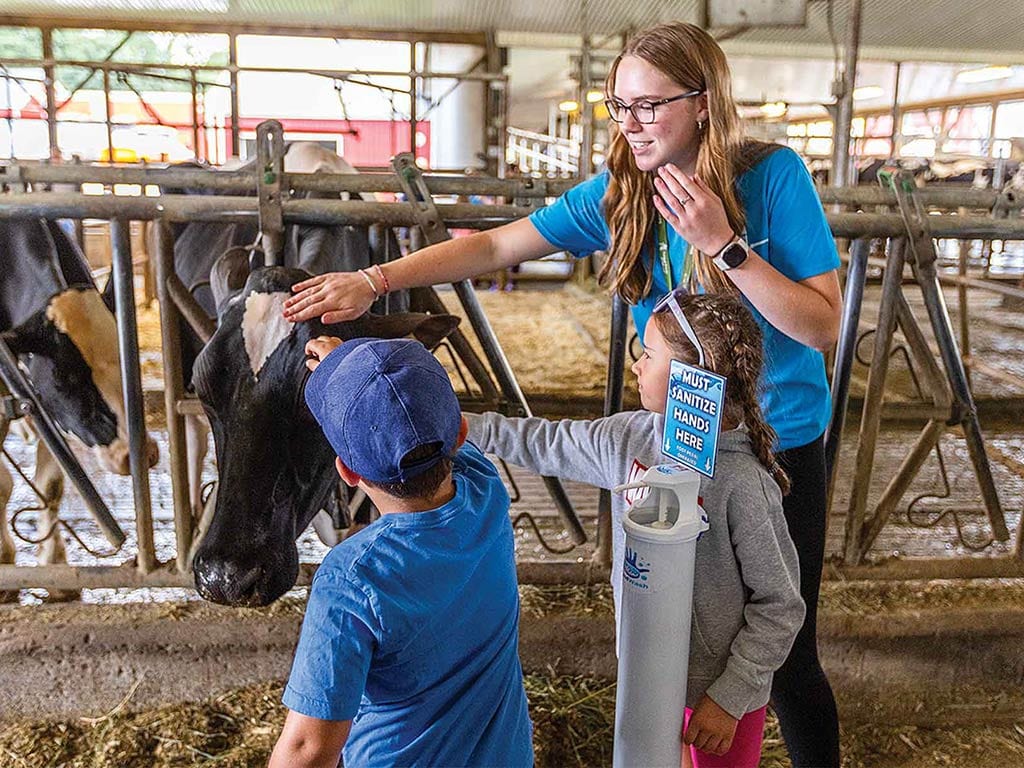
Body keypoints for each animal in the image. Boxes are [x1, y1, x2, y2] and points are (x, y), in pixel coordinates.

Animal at [0, 217, 159, 602]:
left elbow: (53, 484)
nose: (139, 454)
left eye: (127, 358)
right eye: (65, 377)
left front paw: (57, 570)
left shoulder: (46, 409)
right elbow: (2, 485)